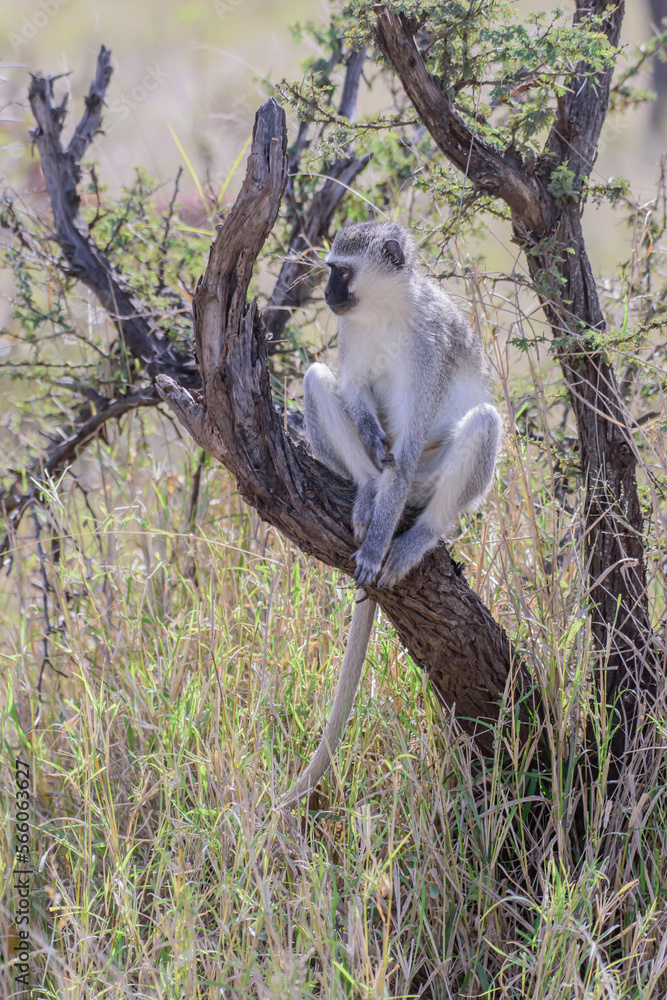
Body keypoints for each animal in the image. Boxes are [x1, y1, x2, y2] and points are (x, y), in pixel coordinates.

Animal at [279, 221, 502, 808]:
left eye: (342, 270)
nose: (328, 293)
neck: (383, 309)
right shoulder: (350, 333)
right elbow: (355, 389)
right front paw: (368, 427)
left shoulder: (429, 348)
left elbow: (406, 448)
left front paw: (377, 550)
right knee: (318, 380)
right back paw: (365, 493)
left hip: (426, 484)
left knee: (479, 426)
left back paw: (416, 536)